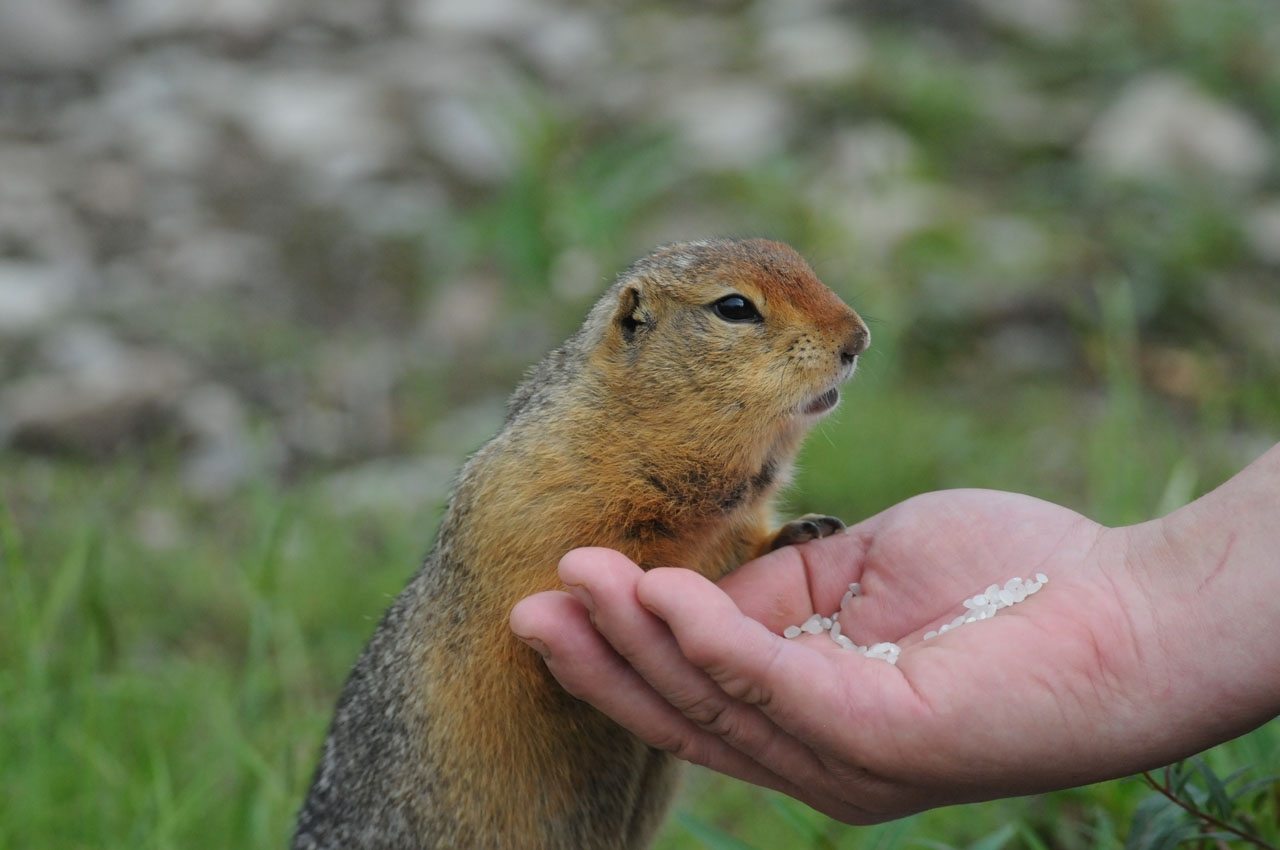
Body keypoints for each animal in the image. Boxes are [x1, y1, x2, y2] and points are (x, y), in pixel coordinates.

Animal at [293, 235, 870, 844]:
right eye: (734, 307)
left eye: (802, 263)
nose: (858, 338)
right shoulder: (540, 507)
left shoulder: (731, 528)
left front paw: (803, 529)